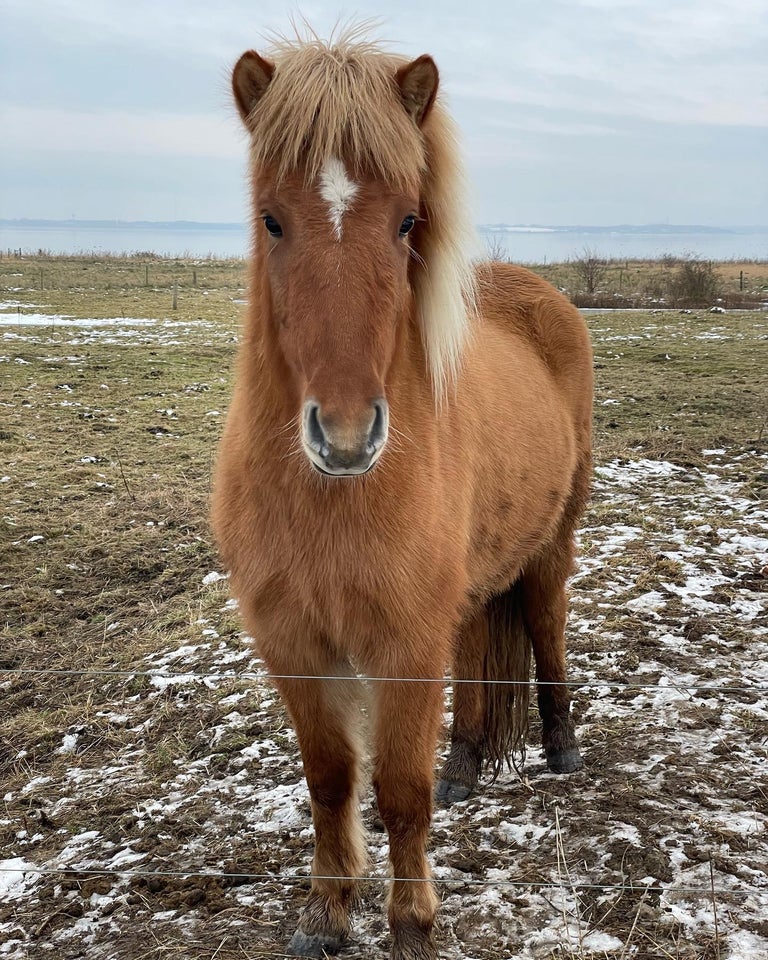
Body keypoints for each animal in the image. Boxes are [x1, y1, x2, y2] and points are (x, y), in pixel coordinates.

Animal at [210, 30, 592, 960]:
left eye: (408, 221)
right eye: (271, 218)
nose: (346, 437)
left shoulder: (404, 645)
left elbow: (400, 793)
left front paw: (413, 924)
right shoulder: (295, 645)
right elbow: (331, 780)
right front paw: (326, 913)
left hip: (551, 546)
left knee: (546, 628)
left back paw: (562, 749)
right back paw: (467, 764)